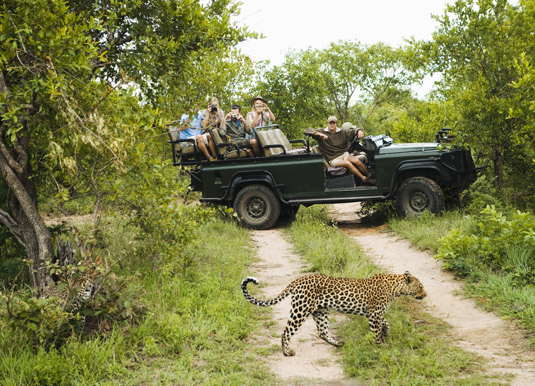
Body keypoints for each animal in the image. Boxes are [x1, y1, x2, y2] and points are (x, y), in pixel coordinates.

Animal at [242, 272, 428, 356]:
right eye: (420, 287)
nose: (426, 294)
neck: (396, 288)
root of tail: (297, 280)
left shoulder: (375, 314)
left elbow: (385, 322)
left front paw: (386, 332)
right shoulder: (374, 313)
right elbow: (376, 331)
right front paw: (380, 346)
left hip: (321, 311)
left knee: (322, 331)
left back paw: (338, 344)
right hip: (301, 309)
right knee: (286, 331)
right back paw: (287, 352)